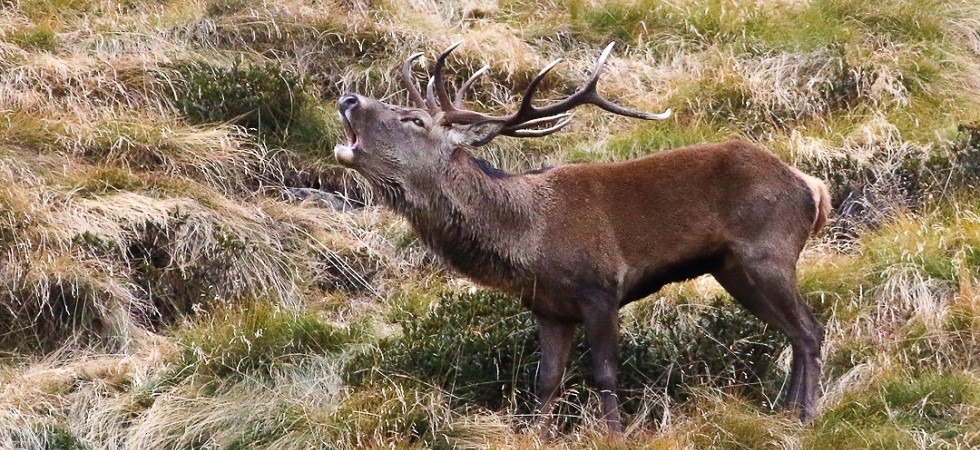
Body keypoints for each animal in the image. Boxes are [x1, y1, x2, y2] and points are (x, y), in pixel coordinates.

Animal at [333, 42, 831, 436]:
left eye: (414, 119)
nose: (348, 97)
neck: (529, 240)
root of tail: (814, 187)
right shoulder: (549, 309)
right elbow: (546, 381)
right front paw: (538, 435)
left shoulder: (600, 288)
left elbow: (606, 374)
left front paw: (616, 434)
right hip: (733, 269)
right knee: (791, 332)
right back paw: (785, 412)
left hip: (770, 252)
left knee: (810, 329)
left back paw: (807, 416)